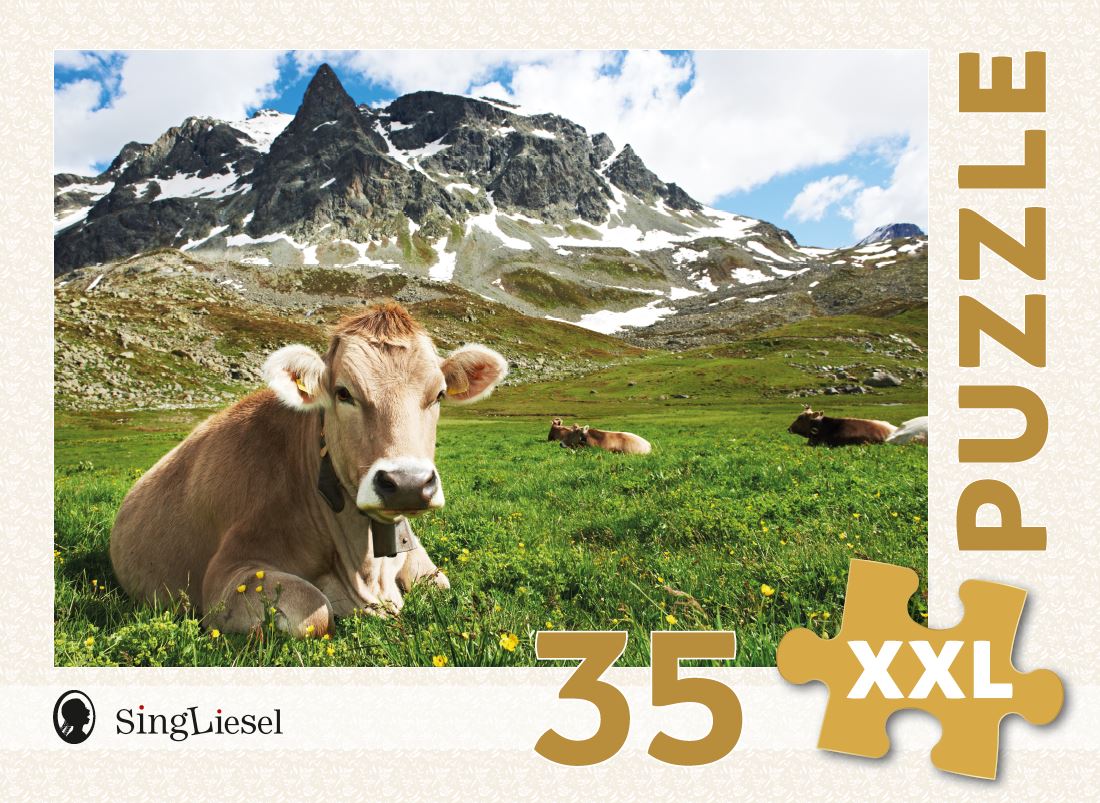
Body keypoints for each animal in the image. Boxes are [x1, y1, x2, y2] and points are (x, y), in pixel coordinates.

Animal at [109, 302, 508, 638]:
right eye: (343, 393)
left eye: (439, 394)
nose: (408, 483)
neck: (365, 570)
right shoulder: (225, 574)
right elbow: (316, 610)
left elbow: (441, 584)